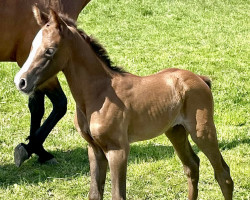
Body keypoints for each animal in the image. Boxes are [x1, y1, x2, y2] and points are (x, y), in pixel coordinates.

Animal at [13, 8, 233, 200]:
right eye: (31, 47)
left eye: (50, 50)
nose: (21, 81)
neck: (98, 94)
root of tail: (200, 78)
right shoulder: (94, 149)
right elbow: (95, 194)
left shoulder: (117, 150)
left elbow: (118, 195)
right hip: (175, 131)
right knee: (192, 166)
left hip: (202, 131)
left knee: (223, 174)